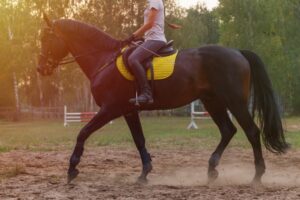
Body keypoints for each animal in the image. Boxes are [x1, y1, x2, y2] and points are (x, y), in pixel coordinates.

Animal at [37, 15, 288, 184]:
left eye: (47, 39)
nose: (40, 69)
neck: (104, 60)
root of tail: (237, 52)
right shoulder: (129, 110)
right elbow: (139, 140)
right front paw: (145, 172)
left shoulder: (110, 108)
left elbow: (83, 132)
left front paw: (72, 169)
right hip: (212, 102)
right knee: (228, 130)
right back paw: (211, 170)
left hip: (234, 102)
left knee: (252, 132)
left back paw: (257, 176)